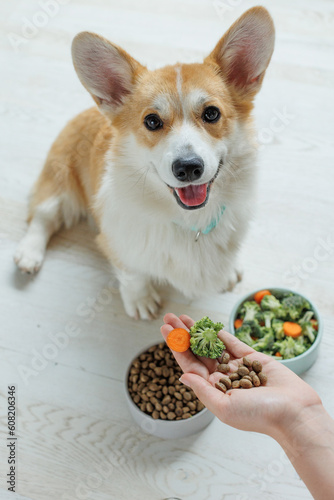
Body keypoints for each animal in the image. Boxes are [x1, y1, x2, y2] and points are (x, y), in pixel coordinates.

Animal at [13, 6, 274, 320]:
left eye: (211, 113)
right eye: (152, 121)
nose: (188, 168)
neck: (192, 221)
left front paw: (228, 271)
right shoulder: (117, 242)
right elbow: (132, 274)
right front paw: (141, 300)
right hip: (59, 184)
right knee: (43, 216)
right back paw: (29, 253)